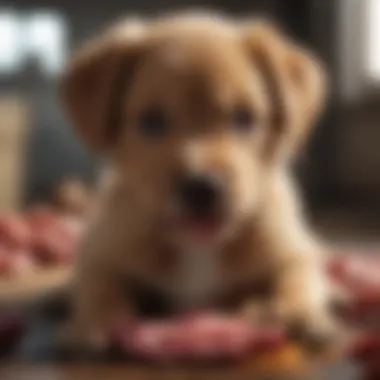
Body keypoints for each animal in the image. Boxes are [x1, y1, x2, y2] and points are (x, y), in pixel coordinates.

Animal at [60, 11, 338, 354]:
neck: (198, 248)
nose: (202, 187)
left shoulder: (294, 248)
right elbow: (100, 287)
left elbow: (297, 279)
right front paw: (93, 321)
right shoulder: (100, 251)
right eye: (151, 121)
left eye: (244, 117)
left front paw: (301, 313)